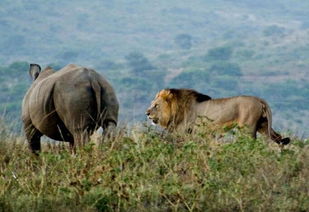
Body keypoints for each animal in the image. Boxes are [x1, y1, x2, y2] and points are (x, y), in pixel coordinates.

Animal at [146, 88, 290, 146]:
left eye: (156, 105)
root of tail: (259, 99)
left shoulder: (184, 133)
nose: (147, 113)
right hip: (263, 126)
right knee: (279, 138)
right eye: (152, 104)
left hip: (247, 128)